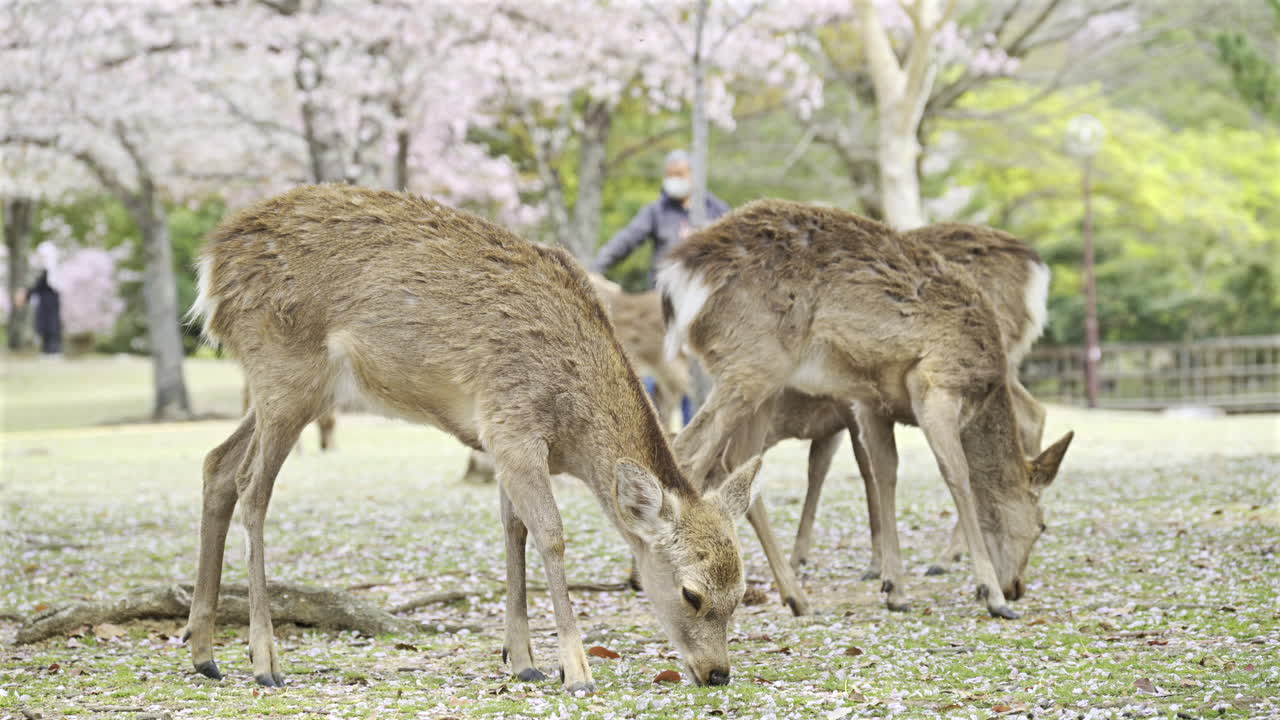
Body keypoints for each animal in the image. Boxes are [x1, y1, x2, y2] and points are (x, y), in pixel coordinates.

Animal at [183, 185, 763, 692]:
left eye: (741, 592)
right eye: (691, 594)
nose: (717, 672)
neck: (572, 431)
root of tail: (210, 263)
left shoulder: (500, 440)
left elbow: (514, 530)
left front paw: (523, 660)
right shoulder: (514, 423)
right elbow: (550, 533)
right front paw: (575, 670)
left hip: (298, 389)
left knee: (216, 463)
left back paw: (204, 653)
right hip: (284, 368)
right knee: (252, 485)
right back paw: (264, 660)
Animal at [659, 199, 1073, 620]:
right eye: (1042, 526)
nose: (1017, 587)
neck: (982, 391)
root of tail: (679, 274)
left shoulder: (872, 403)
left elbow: (884, 473)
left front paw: (895, 589)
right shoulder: (935, 382)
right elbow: (957, 474)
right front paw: (990, 595)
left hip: (762, 381)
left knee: (738, 460)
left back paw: (796, 596)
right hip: (750, 362)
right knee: (689, 451)